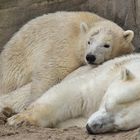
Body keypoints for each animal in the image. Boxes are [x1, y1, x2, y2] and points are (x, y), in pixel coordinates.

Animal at [0, 11, 134, 108]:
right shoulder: (65, 45)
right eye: (89, 42)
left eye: (107, 45)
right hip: (16, 59)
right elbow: (50, 70)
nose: (90, 57)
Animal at [7, 53, 140, 133]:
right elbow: (74, 94)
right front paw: (19, 119)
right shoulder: (104, 80)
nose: (90, 127)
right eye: (107, 106)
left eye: (118, 127)